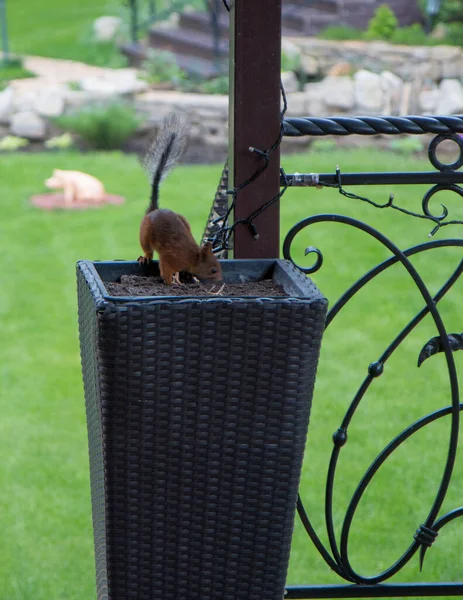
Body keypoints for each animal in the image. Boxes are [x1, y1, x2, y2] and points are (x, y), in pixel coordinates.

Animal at [138, 115, 223, 288]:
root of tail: (154, 210)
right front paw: (170, 283)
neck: (191, 256)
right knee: (148, 249)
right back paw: (146, 257)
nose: (220, 280)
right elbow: (165, 268)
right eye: (213, 270)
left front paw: (187, 276)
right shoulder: (170, 257)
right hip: (145, 233)